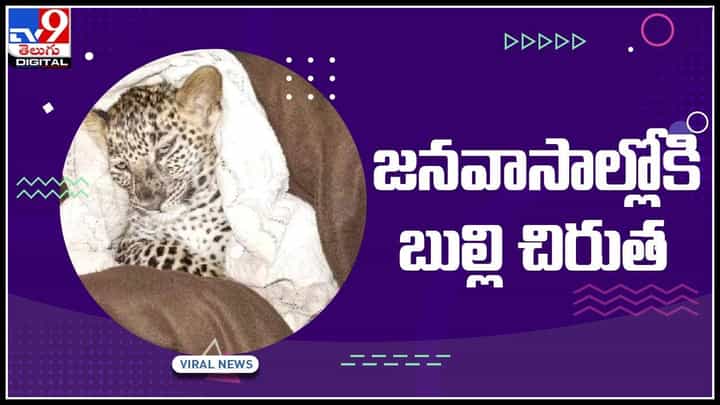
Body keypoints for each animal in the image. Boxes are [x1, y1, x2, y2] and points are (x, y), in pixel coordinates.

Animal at [88, 66, 234, 278]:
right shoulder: (128, 244)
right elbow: (165, 249)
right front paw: (217, 273)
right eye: (122, 166)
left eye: (164, 149)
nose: (152, 205)